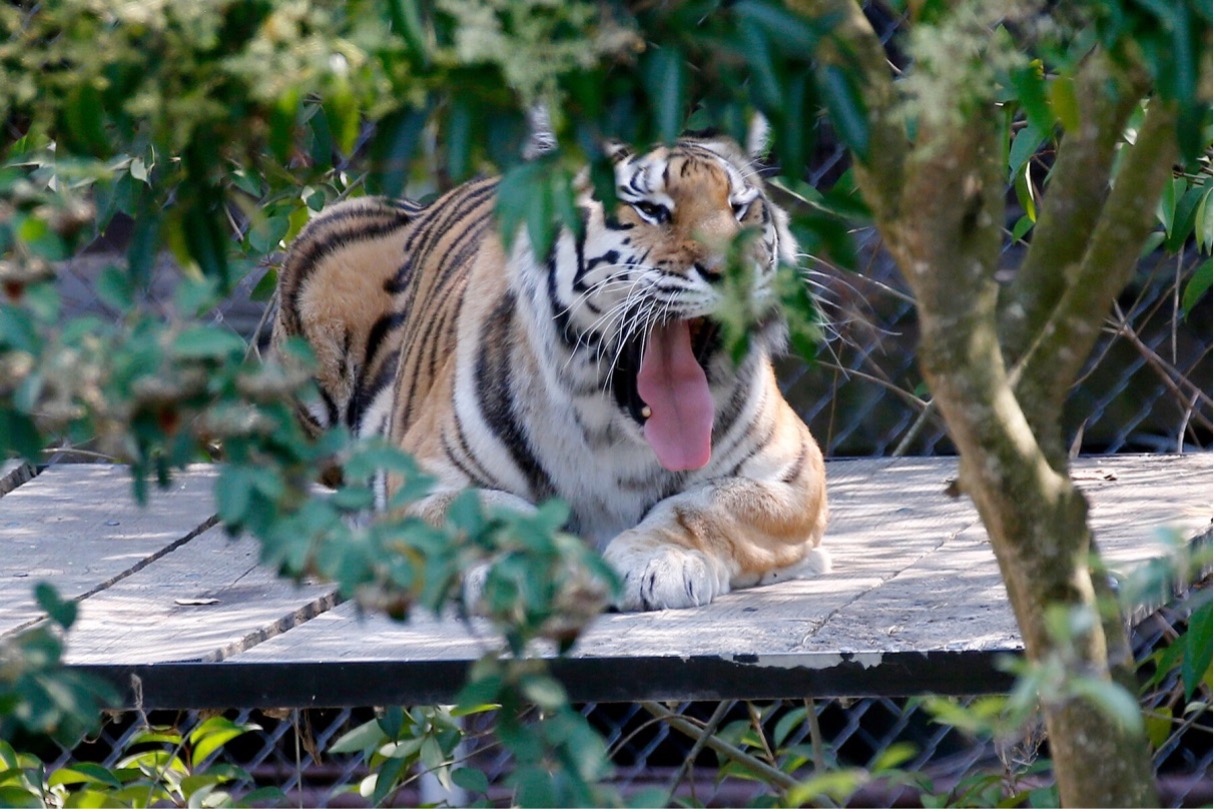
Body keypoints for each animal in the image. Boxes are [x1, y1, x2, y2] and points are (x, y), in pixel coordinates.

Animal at [271, 128, 831, 607]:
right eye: (651, 210)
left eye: (739, 209)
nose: (736, 270)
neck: (615, 431)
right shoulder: (424, 482)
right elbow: (497, 516)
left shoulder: (793, 473)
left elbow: (710, 504)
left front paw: (661, 560)